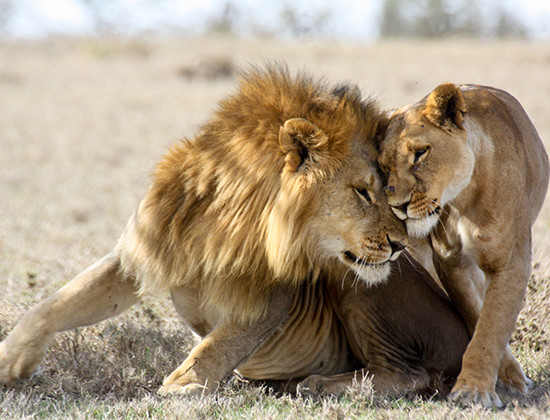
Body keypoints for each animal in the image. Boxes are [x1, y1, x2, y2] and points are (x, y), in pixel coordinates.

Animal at [380, 83, 550, 406]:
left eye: (420, 154)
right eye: (383, 168)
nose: (397, 206)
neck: (463, 199)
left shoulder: (510, 263)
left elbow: (491, 326)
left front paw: (474, 391)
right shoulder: (450, 262)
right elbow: (477, 316)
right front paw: (499, 379)